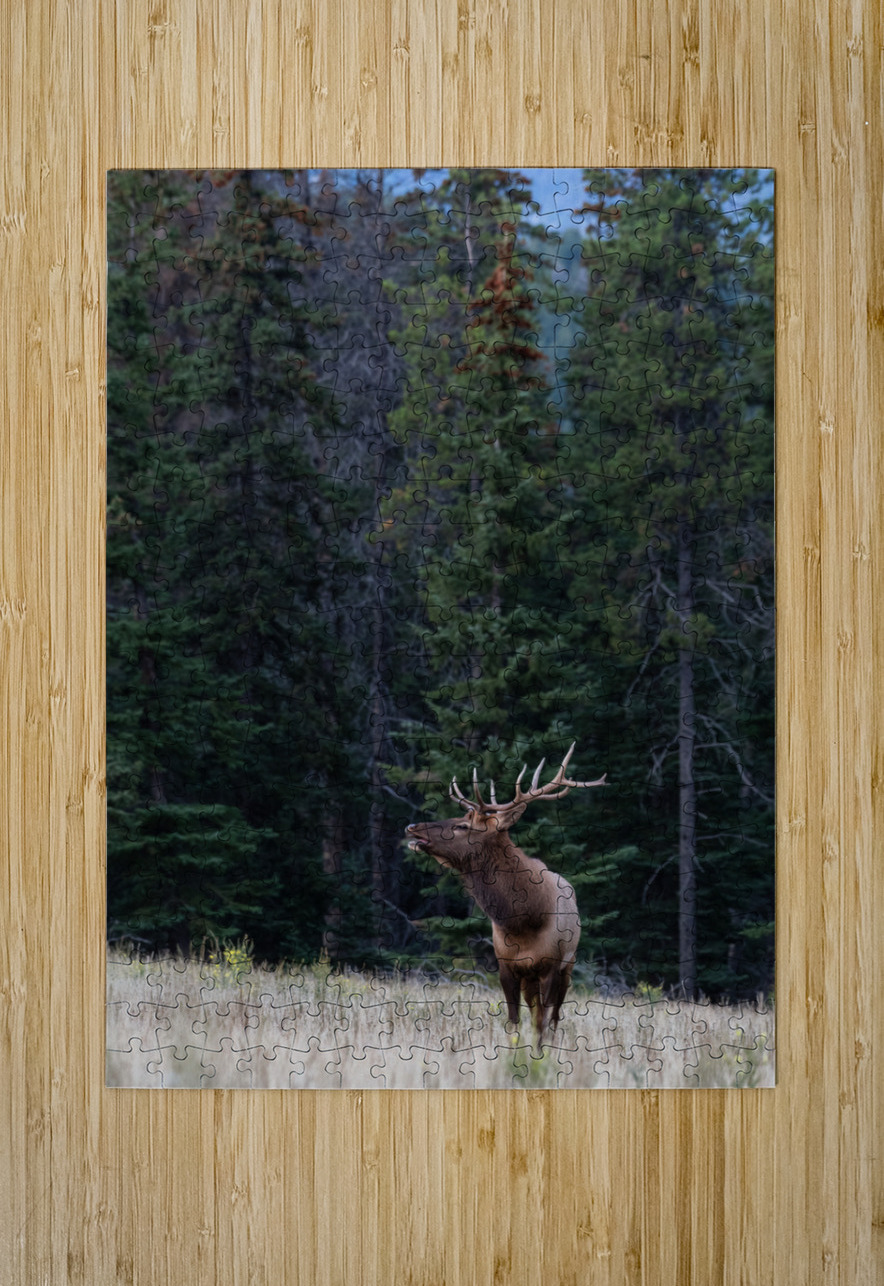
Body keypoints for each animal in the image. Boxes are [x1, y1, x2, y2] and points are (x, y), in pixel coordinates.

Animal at [406, 744, 606, 1050]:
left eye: (463, 826)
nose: (412, 826)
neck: (523, 919)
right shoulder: (506, 966)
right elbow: (514, 1021)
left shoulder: (550, 966)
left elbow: (542, 1022)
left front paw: (539, 1054)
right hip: (530, 978)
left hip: (568, 966)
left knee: (553, 1017)